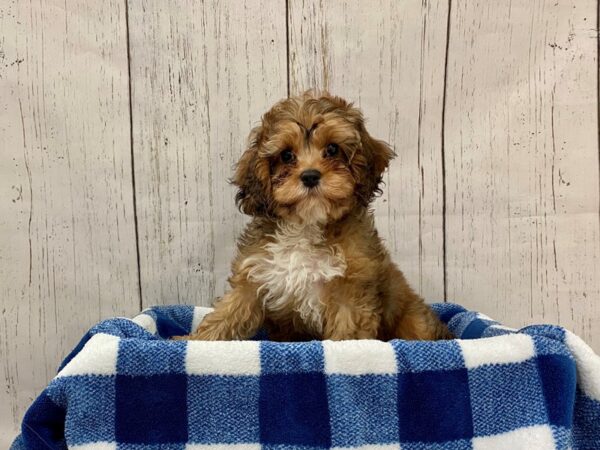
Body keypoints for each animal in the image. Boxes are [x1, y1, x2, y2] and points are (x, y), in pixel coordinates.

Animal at [185, 91, 452, 342]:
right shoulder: (255, 276)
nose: (310, 176)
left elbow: (348, 335)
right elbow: (227, 313)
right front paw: (196, 341)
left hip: (414, 320)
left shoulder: (351, 293)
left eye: (332, 149)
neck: (306, 226)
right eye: (286, 155)